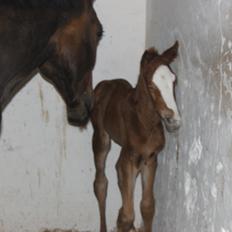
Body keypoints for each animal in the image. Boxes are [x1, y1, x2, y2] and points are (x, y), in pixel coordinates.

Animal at [91, 41, 180, 232]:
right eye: (151, 85)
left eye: (174, 80)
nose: (173, 119)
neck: (145, 123)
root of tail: (106, 83)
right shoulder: (129, 159)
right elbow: (127, 215)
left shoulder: (151, 159)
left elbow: (147, 206)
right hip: (101, 138)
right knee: (101, 182)